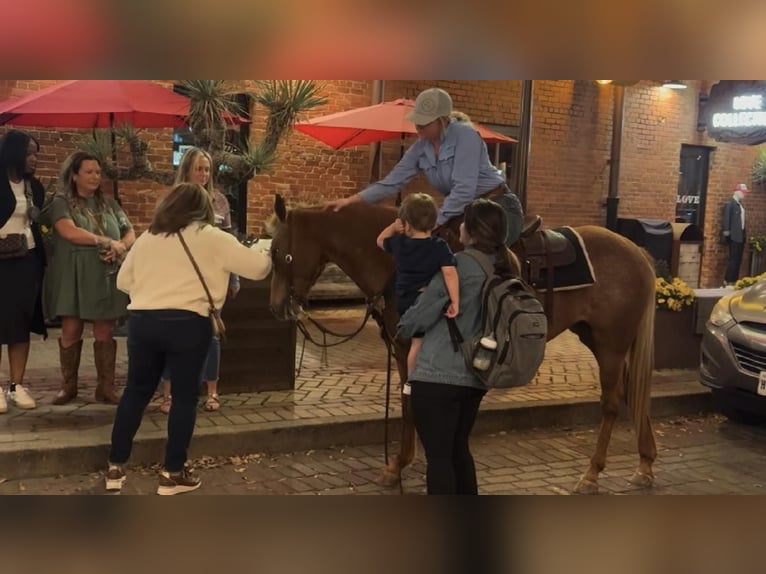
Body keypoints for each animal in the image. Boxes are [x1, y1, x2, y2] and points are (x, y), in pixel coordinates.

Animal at [268, 196, 656, 498]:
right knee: (634, 393)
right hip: (600, 339)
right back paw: (645, 464)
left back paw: (592, 473)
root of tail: (636, 252)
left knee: (612, 403)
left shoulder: (413, 349)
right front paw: (405, 461)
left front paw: (398, 464)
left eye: (277, 253)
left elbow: (411, 404)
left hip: (611, 343)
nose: (276, 307)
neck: (397, 262)